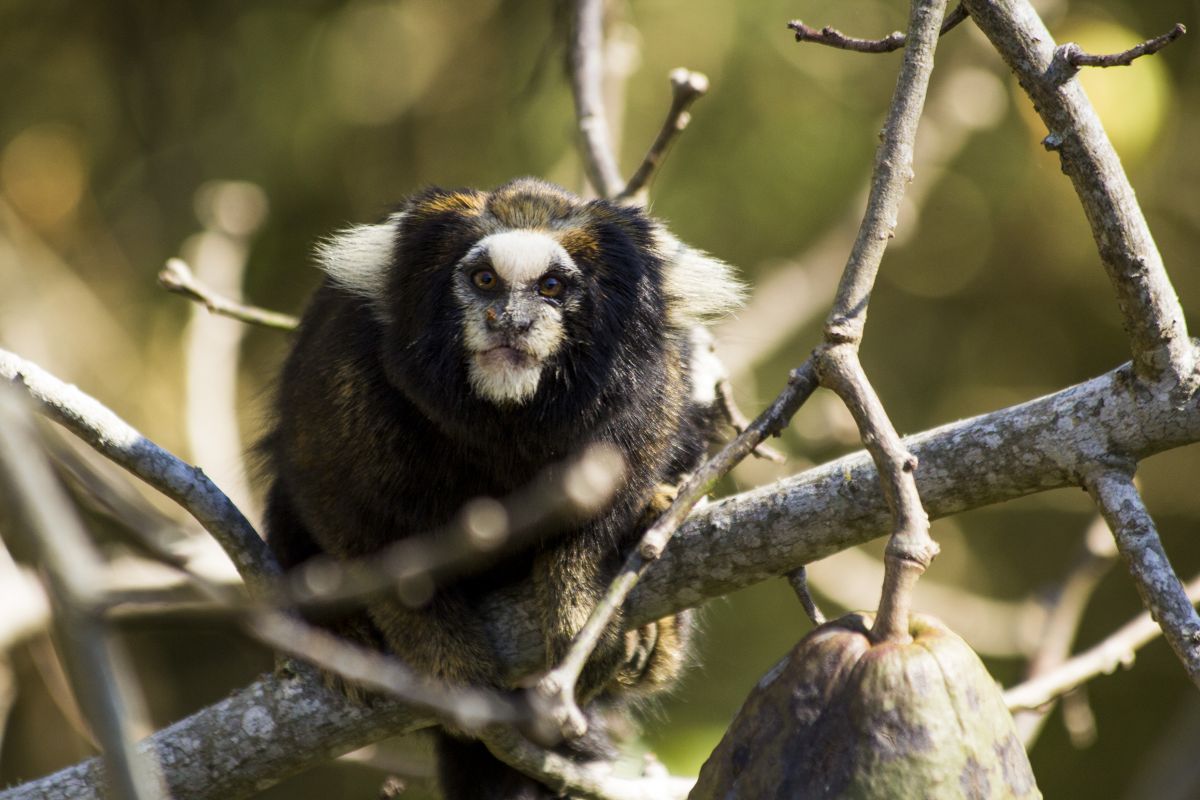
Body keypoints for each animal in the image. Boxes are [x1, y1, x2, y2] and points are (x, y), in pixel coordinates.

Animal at [265, 178, 739, 796]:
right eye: (485, 280)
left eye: (552, 287)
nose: (510, 321)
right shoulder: (341, 375)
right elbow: (344, 509)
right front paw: (438, 652)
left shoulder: (651, 388)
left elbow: (618, 497)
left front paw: (579, 598)